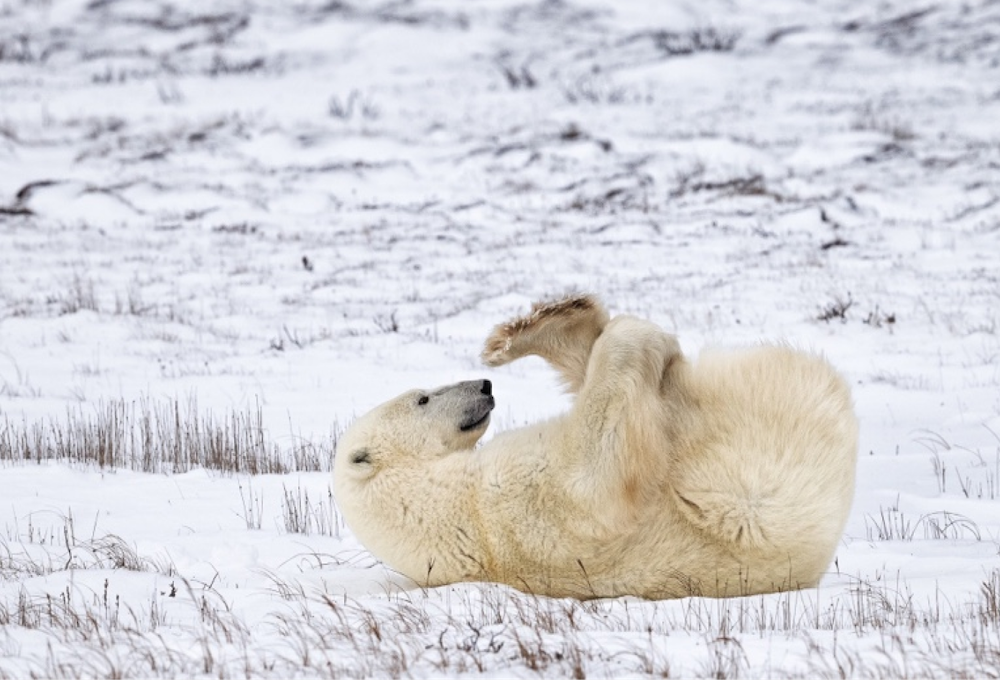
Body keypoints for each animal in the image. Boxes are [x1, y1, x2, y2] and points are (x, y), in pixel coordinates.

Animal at [333, 294, 858, 600]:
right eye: (423, 397)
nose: (483, 386)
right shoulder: (520, 502)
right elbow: (599, 470)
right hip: (750, 457)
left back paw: (532, 329)